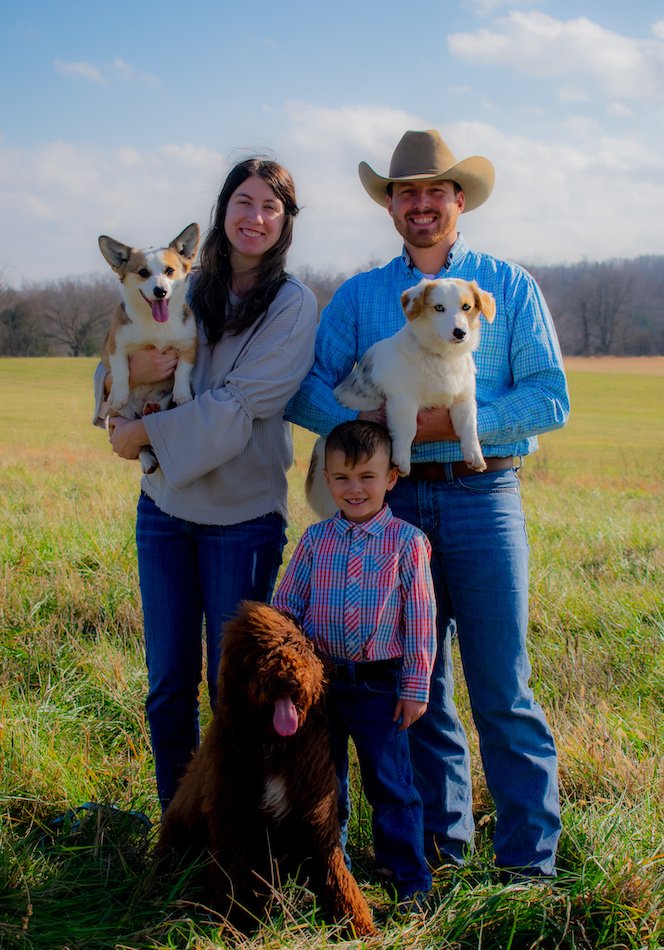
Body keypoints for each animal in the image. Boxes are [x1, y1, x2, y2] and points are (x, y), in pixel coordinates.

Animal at [99, 224, 200, 476]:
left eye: (170, 271)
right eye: (143, 272)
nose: (160, 291)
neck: (156, 326)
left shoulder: (189, 344)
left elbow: (182, 371)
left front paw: (183, 395)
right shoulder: (116, 345)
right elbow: (121, 370)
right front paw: (119, 394)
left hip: (162, 399)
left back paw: (152, 408)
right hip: (118, 417)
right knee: (139, 444)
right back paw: (146, 458)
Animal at [153, 604, 376, 936]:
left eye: (296, 646)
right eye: (259, 653)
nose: (287, 679)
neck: (273, 744)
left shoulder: (315, 811)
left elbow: (335, 869)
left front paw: (358, 922)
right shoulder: (231, 815)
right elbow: (233, 874)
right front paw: (238, 921)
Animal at [334, 278, 496, 480]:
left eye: (466, 306)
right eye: (439, 307)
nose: (460, 332)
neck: (443, 356)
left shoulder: (463, 400)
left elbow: (468, 427)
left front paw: (475, 455)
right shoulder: (403, 400)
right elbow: (407, 429)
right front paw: (401, 461)